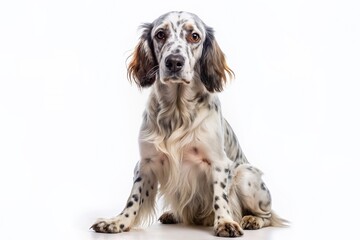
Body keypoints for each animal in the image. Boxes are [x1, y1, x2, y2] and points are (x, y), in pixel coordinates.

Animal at [90, 10, 286, 236]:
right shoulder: (147, 163)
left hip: (246, 175)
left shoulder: (218, 163)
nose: (174, 62)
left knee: (268, 216)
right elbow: (134, 198)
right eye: (160, 34)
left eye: (194, 36)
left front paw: (225, 222)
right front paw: (117, 222)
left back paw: (251, 220)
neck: (177, 111)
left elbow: (220, 198)